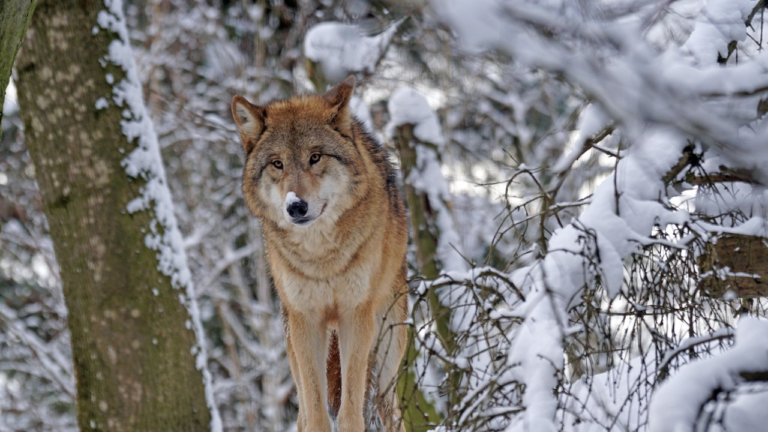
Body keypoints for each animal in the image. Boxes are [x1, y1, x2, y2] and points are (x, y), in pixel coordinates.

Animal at [232, 76, 408, 432]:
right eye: (278, 163)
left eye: (315, 157)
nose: (296, 206)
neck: (321, 258)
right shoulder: (306, 320)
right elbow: (315, 414)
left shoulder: (356, 314)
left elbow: (351, 412)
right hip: (293, 344)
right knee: (301, 412)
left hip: (387, 351)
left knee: (390, 412)